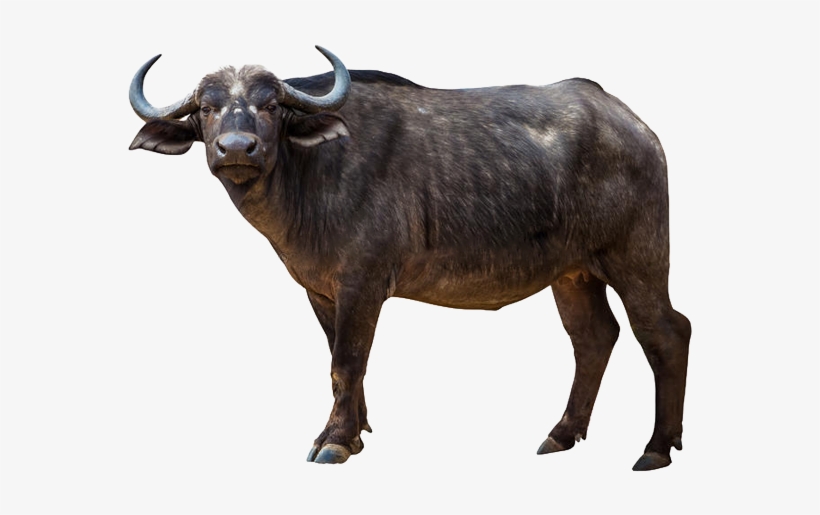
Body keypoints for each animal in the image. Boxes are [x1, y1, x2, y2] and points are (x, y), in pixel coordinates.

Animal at [129, 46, 691, 470]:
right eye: (206, 108)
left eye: (270, 106)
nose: (236, 148)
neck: (311, 172)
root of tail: (635, 127)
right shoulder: (320, 290)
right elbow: (339, 359)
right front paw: (355, 432)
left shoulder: (363, 283)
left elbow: (347, 360)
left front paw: (334, 441)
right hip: (573, 273)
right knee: (593, 338)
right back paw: (562, 433)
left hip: (637, 258)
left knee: (665, 332)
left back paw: (656, 448)